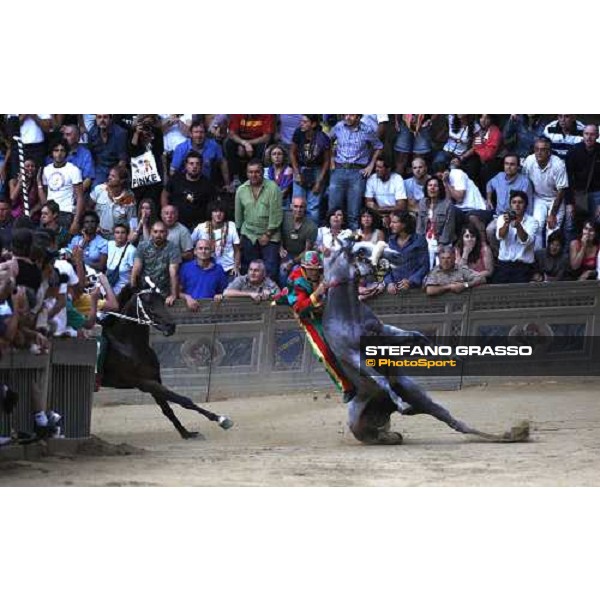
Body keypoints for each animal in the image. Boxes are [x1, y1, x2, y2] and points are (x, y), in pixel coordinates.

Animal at [99, 282, 233, 440]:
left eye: (163, 301)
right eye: (148, 303)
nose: (171, 326)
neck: (128, 345)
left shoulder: (155, 380)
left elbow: (168, 409)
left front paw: (186, 433)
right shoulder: (143, 383)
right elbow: (183, 400)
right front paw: (221, 419)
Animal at [322, 240, 528, 446]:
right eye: (361, 251)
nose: (396, 255)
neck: (348, 316)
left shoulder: (385, 333)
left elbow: (419, 336)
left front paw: (453, 356)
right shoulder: (352, 355)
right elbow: (380, 377)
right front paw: (400, 402)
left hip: (421, 398)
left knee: (455, 423)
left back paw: (513, 434)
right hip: (364, 427)